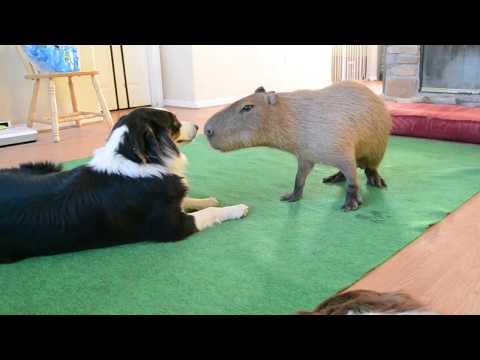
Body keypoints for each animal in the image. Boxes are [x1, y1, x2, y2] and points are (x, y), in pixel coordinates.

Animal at [0, 108, 248, 262]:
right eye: (174, 122)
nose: (197, 125)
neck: (139, 159)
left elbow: (187, 198)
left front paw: (207, 199)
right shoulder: (170, 226)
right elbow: (209, 213)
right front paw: (236, 208)